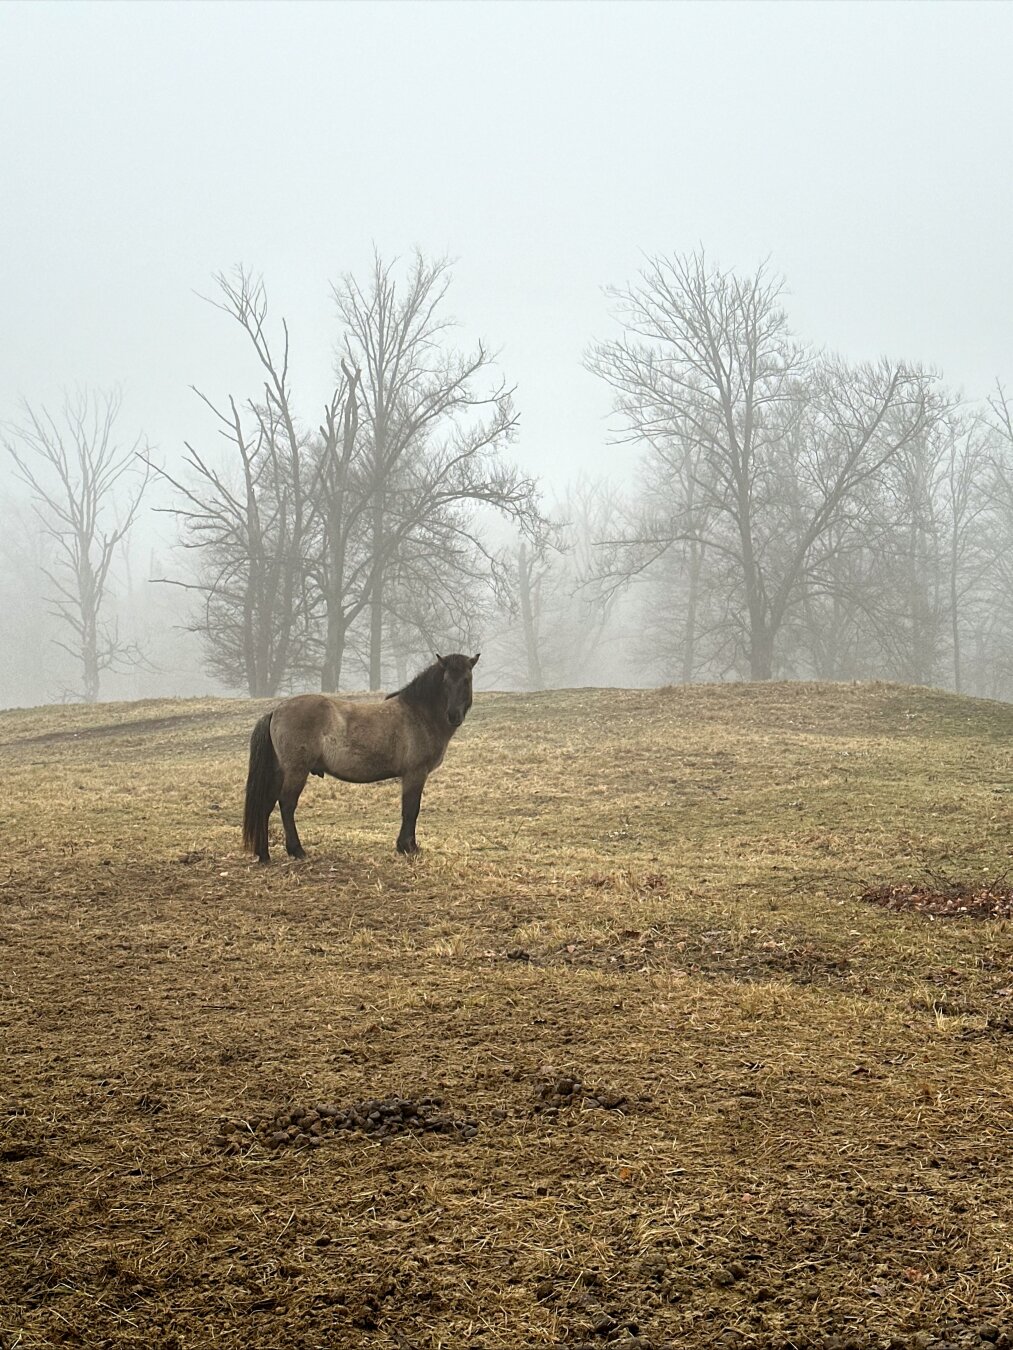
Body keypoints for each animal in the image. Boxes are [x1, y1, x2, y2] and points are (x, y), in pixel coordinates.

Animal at [242, 653, 480, 863]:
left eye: (466, 680)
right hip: (295, 772)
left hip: (278, 772)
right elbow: (411, 809)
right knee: (287, 805)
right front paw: (408, 847)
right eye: (446, 680)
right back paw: (297, 850)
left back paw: (264, 855)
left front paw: (407, 846)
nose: (453, 716)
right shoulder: (415, 774)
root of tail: (276, 711)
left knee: (266, 806)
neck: (418, 714)